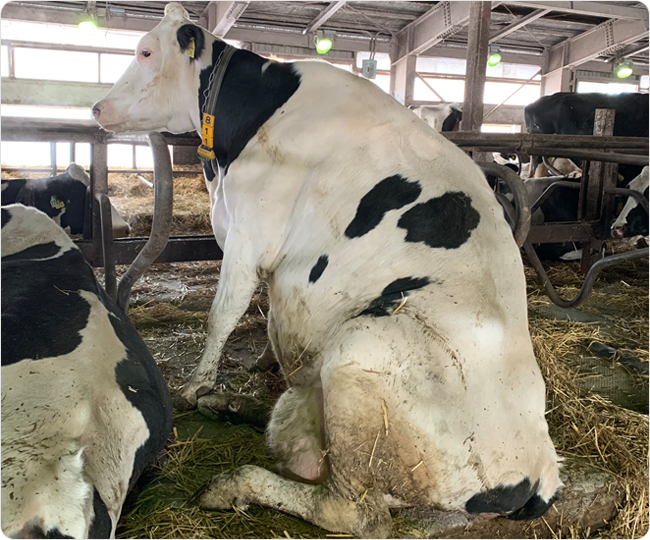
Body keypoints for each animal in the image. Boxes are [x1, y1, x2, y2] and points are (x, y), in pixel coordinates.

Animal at [88, 4, 560, 536]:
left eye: (146, 51)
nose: (97, 109)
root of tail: (540, 473)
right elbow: (269, 319)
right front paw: (248, 371)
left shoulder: (250, 233)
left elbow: (223, 315)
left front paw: (194, 386)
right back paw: (234, 406)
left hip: (360, 355)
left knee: (352, 510)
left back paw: (232, 483)